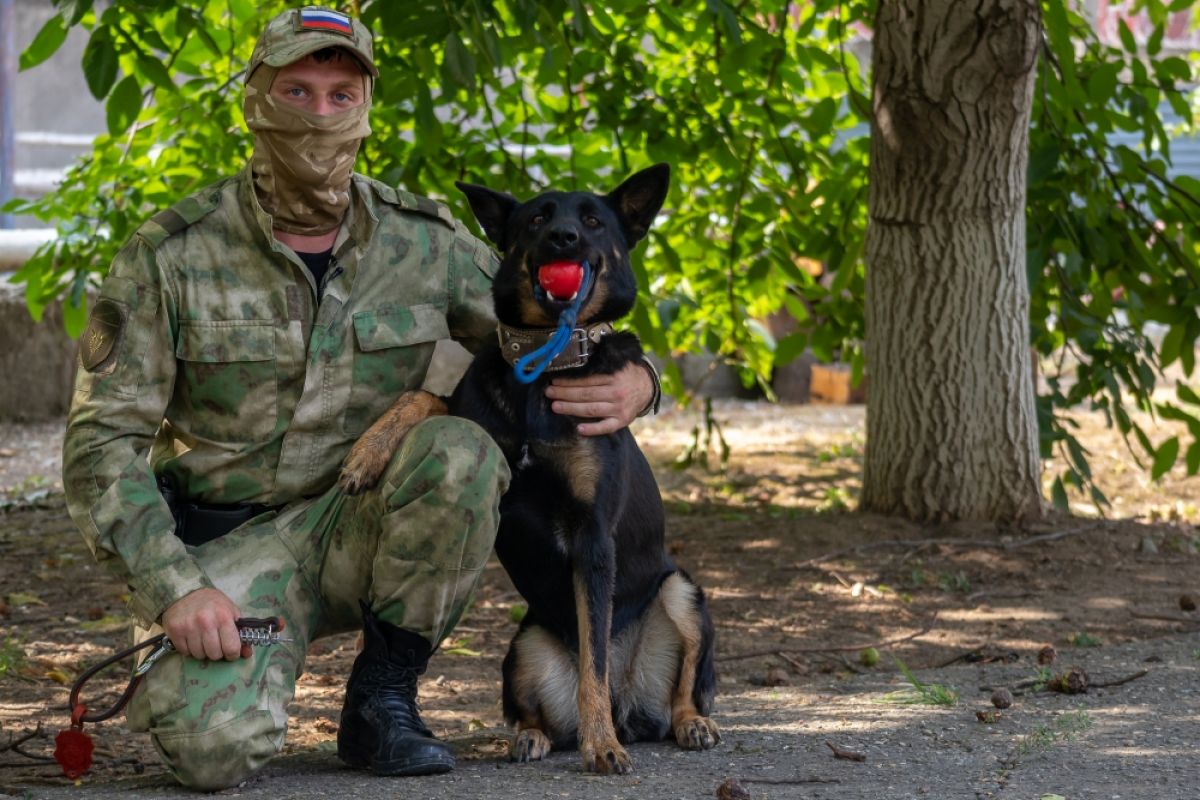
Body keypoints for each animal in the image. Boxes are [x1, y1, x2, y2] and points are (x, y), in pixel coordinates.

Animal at [340, 167, 710, 777]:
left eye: (593, 220)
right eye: (537, 218)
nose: (564, 239)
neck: (546, 362)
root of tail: (633, 710)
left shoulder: (592, 537)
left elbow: (594, 663)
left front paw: (601, 746)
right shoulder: (471, 419)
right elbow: (426, 397)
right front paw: (367, 453)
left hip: (682, 593)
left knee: (679, 688)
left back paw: (684, 725)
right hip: (524, 645)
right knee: (536, 715)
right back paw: (531, 738)